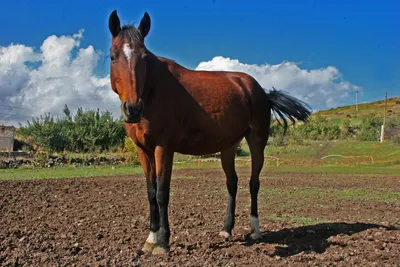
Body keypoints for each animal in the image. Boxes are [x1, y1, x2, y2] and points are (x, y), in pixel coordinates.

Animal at [107, 9, 312, 255]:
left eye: (145, 58)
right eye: (113, 56)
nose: (133, 108)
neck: (153, 92)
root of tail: (261, 91)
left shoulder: (163, 148)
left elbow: (162, 193)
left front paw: (163, 242)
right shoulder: (143, 150)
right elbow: (150, 192)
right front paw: (150, 238)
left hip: (257, 141)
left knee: (254, 183)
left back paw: (255, 230)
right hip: (229, 146)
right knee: (232, 183)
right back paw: (226, 229)